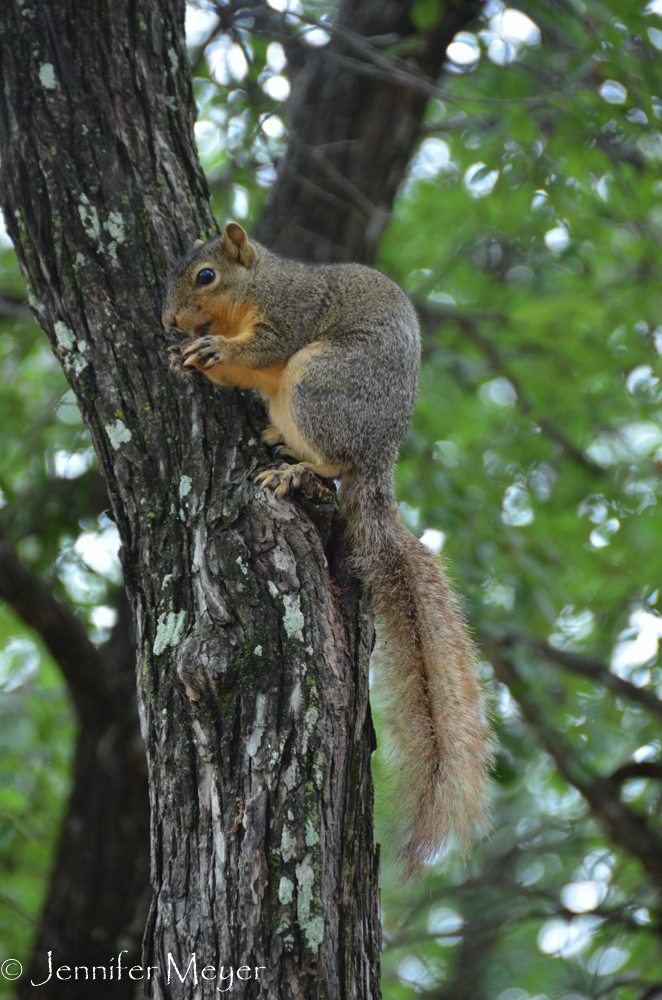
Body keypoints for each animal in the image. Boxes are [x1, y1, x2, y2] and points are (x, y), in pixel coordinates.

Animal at [161, 221, 492, 876]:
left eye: (206, 276)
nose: (168, 321)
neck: (255, 286)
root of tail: (379, 459)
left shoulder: (292, 312)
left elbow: (263, 348)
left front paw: (215, 352)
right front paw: (186, 356)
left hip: (319, 381)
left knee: (335, 461)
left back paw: (299, 469)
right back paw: (278, 443)